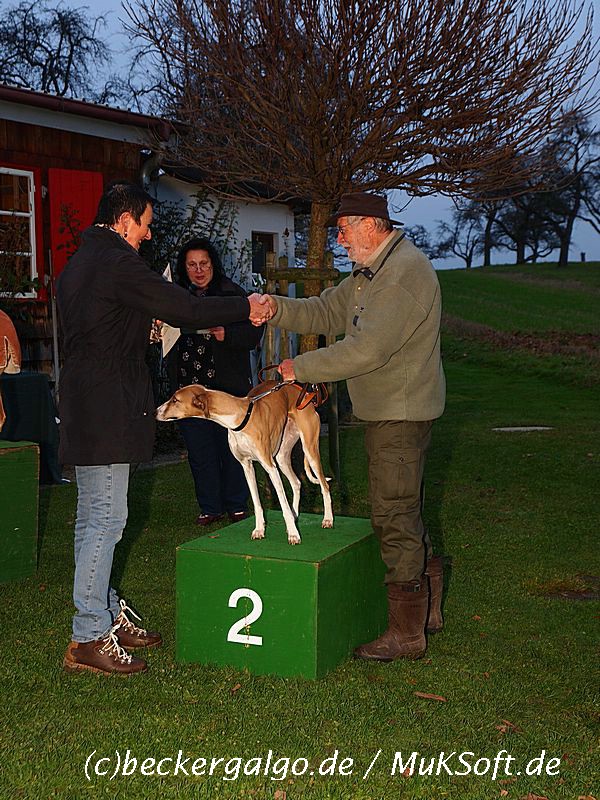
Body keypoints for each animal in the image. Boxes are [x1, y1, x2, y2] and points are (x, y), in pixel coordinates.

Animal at [156, 381, 333, 544]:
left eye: (175, 400)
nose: (155, 411)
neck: (238, 418)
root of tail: (304, 394)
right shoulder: (246, 466)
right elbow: (256, 502)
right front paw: (260, 530)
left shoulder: (269, 466)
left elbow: (282, 503)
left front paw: (293, 534)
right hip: (282, 457)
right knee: (296, 482)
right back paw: (295, 514)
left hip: (309, 449)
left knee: (324, 485)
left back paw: (328, 519)